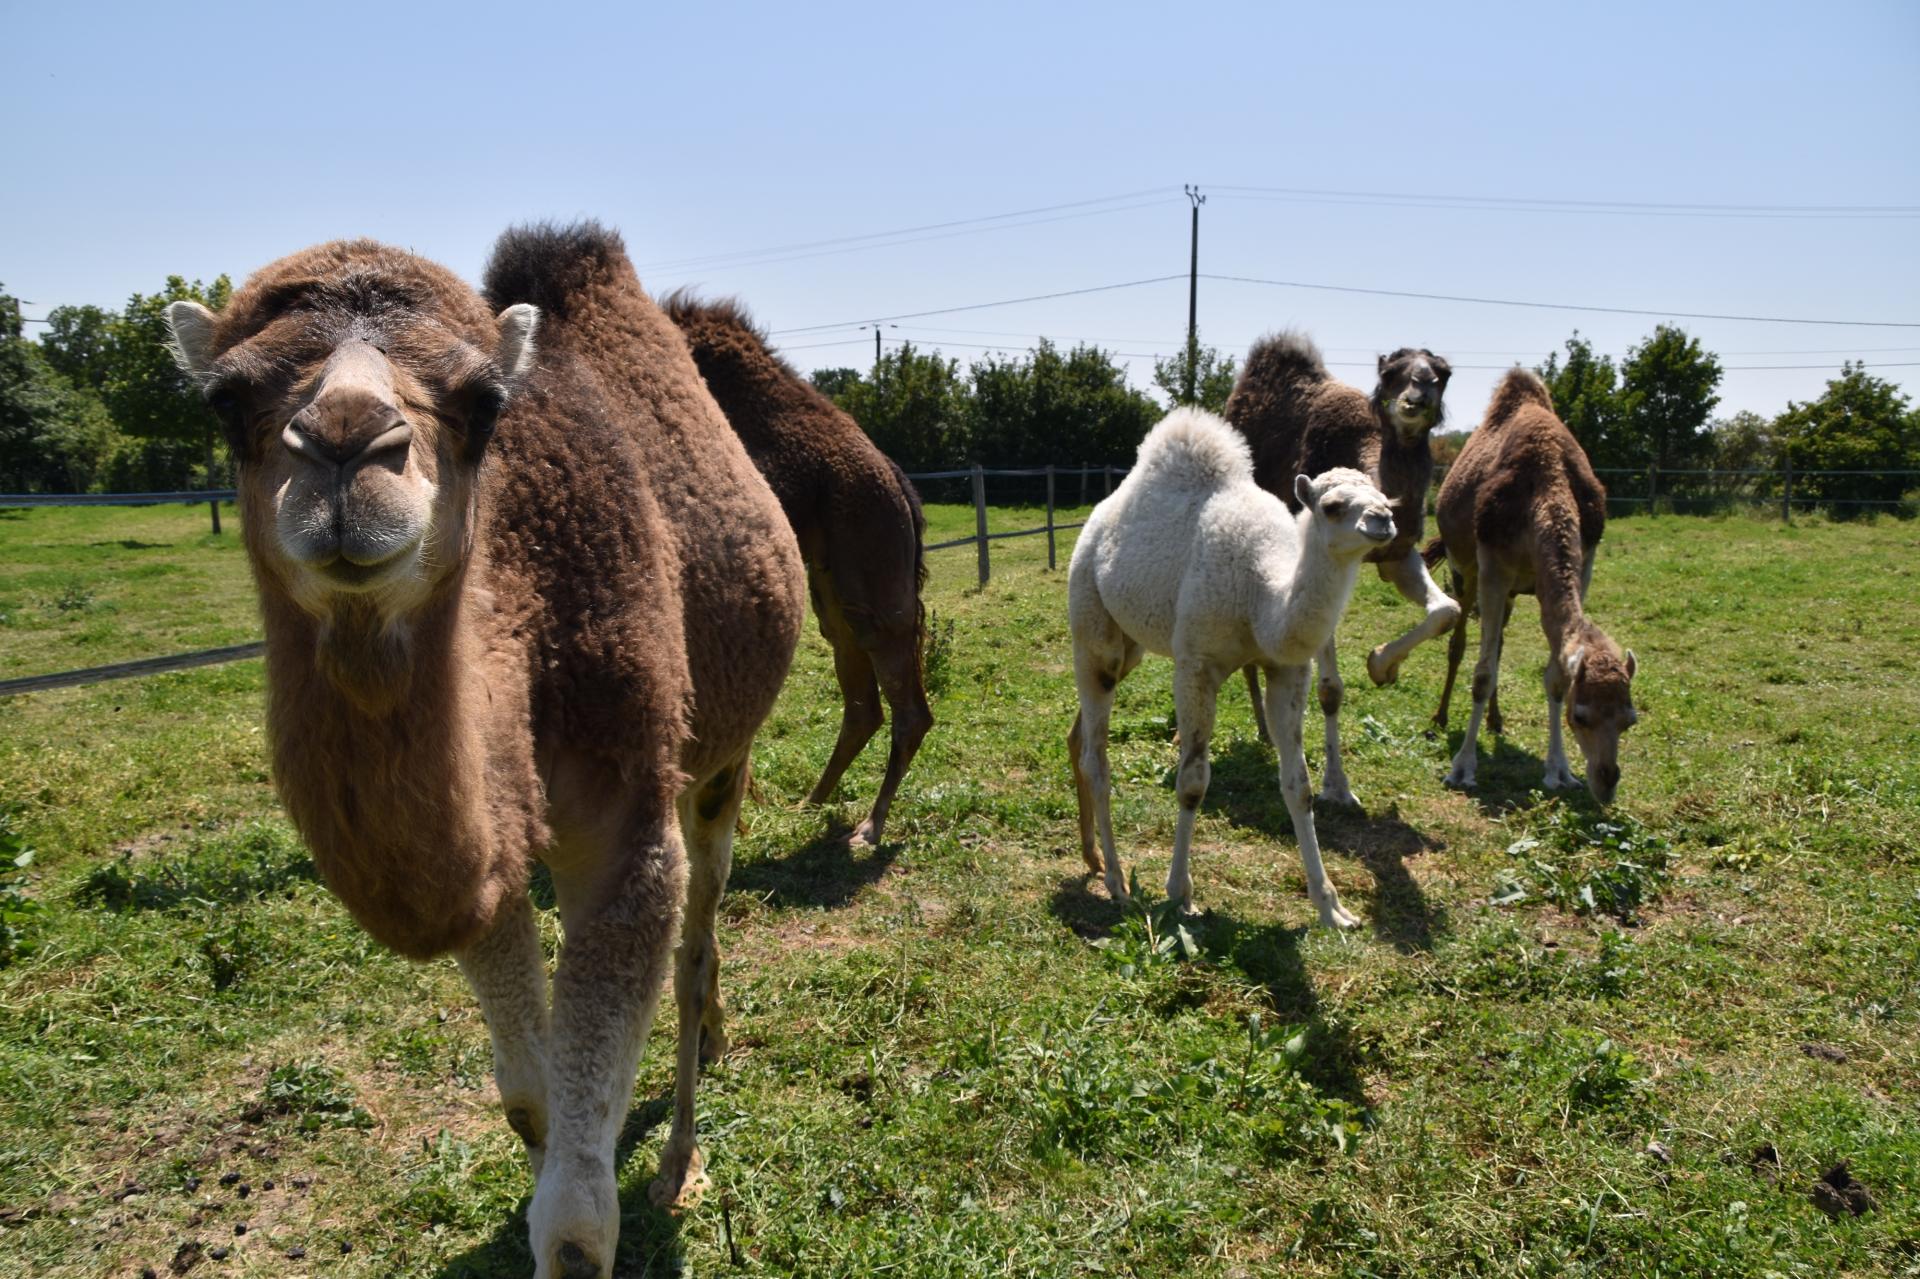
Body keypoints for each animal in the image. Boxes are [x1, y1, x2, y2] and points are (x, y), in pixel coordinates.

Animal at [155, 223, 802, 1267]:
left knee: (699, 937)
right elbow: (534, 1100)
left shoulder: (627, 814)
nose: (347, 445)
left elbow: (577, 1218)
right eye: (226, 400)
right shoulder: (491, 856)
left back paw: (682, 1155)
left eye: (484, 403)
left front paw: (614, 1189)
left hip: (717, 762)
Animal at [664, 291, 933, 841]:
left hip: (871, 560)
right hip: (831, 588)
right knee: (862, 703)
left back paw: (869, 827)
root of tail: (898, 480)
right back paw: (808, 803)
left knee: (905, 702)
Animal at [1221, 334, 1459, 802]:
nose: (1418, 393)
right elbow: (1330, 690)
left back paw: (1265, 731)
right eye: (1390, 372)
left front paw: (1382, 664)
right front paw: (1336, 785)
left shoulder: (1397, 555)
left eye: (1442, 373)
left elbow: (1446, 610)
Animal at [1428, 366, 1635, 798]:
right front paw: (1462, 768)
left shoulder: (1582, 562)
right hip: (1464, 569)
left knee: (1498, 644)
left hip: (1508, 592)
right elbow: (1481, 673)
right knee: (1460, 642)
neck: (1547, 487)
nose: (1606, 781)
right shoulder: (1492, 566)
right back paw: (1439, 717)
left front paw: (1559, 770)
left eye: (1630, 719)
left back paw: (1495, 720)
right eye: (1581, 715)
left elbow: (1554, 674)